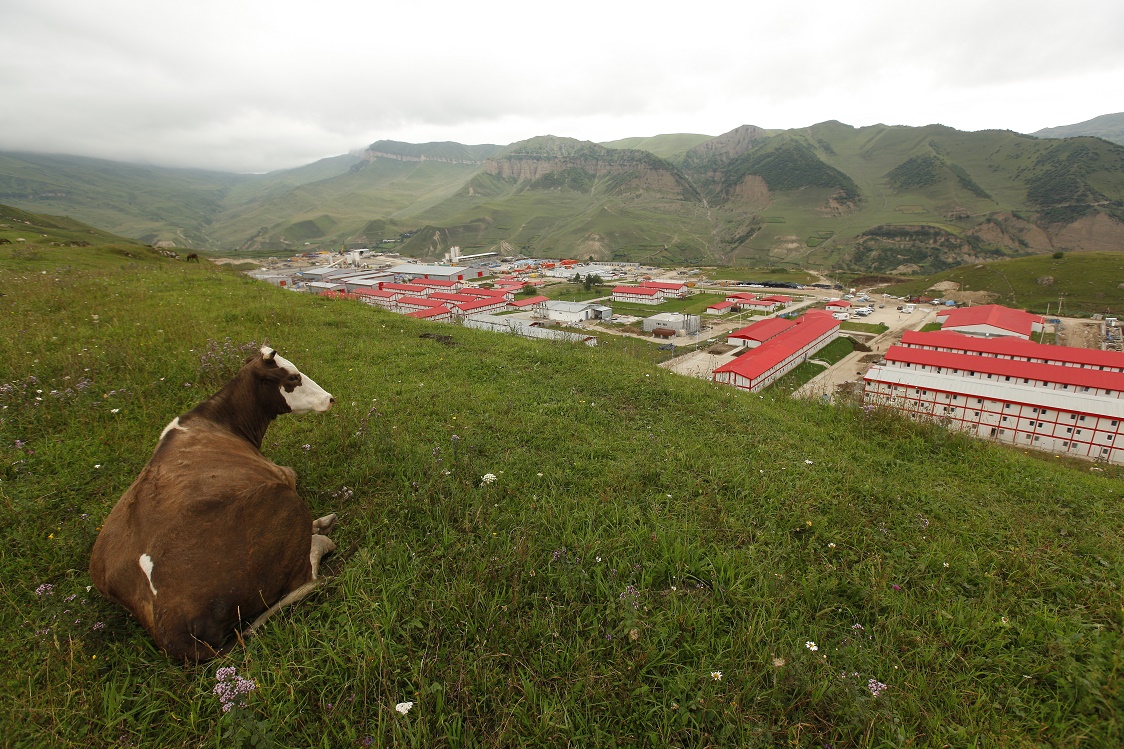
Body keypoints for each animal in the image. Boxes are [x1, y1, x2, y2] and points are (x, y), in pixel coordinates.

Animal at [90, 346, 337, 661]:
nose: (330, 398)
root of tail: (168, 626)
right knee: (304, 576)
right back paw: (322, 536)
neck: (219, 421)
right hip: (285, 501)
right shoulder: (284, 474)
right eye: (293, 377)